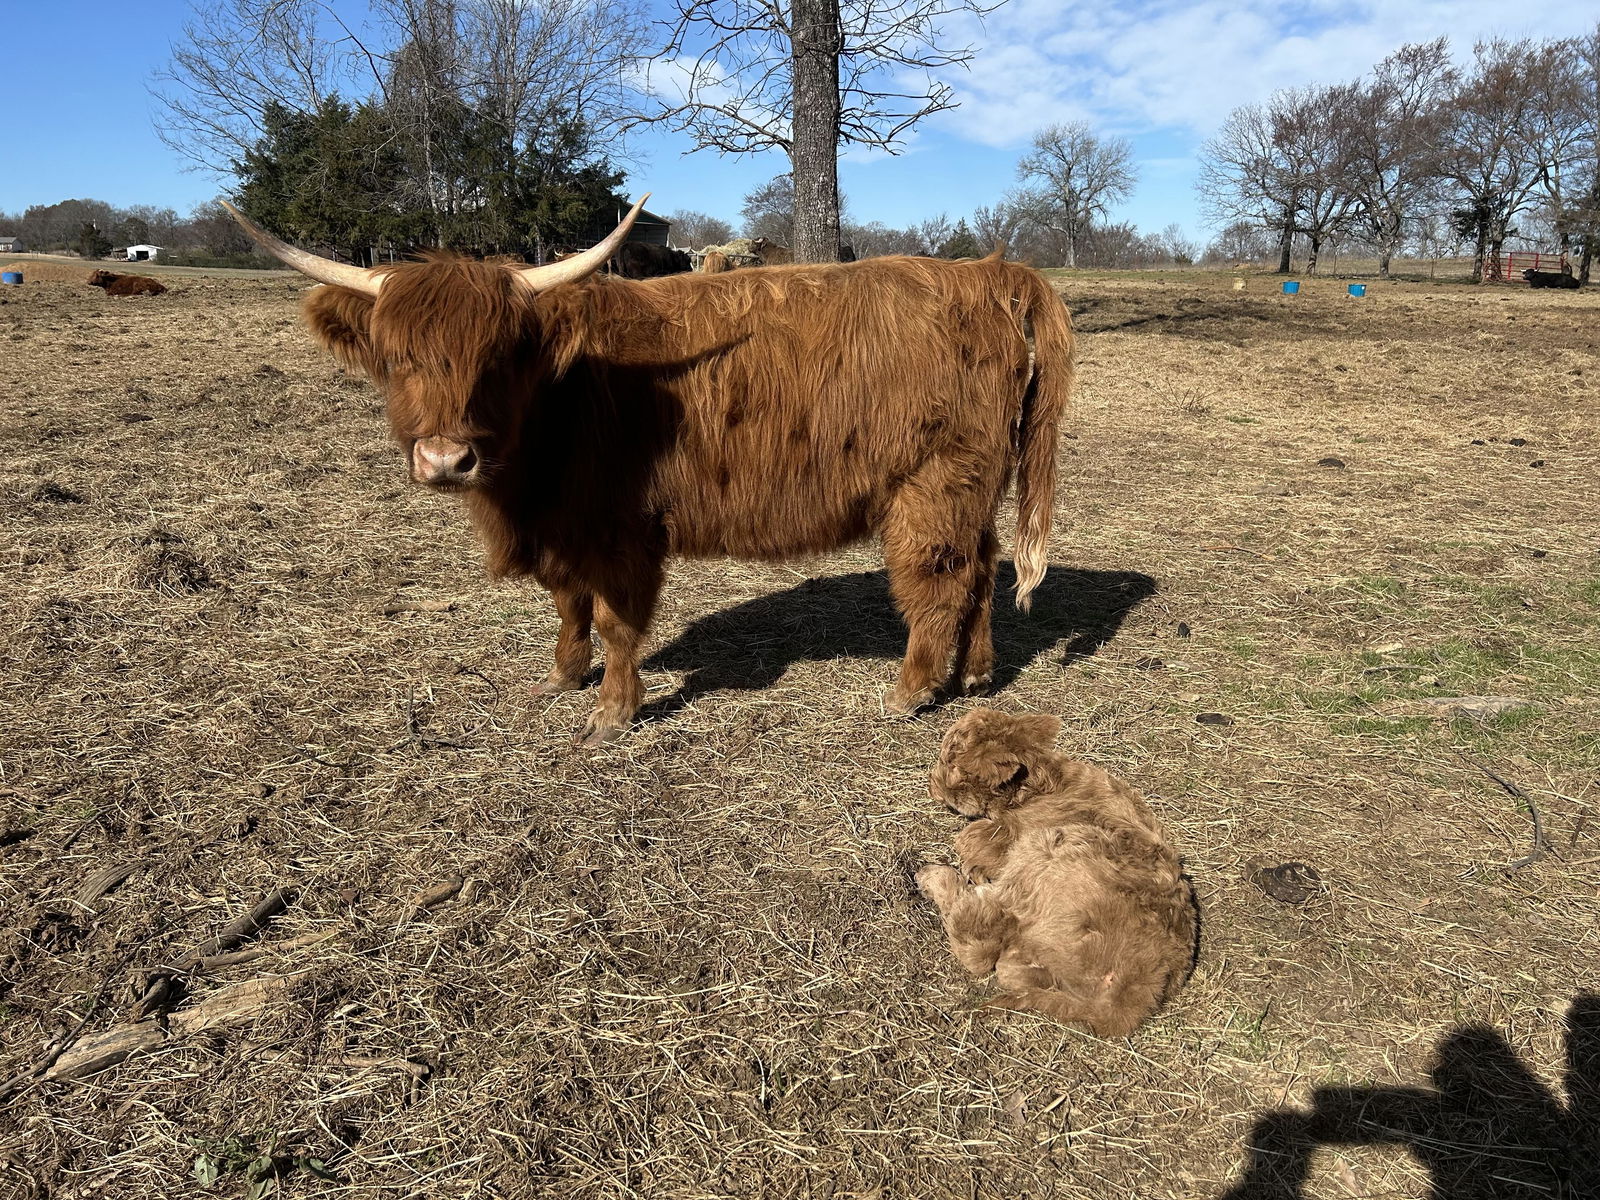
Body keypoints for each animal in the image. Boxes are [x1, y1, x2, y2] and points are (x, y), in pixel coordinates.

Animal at [223, 196, 1075, 744]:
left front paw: (610, 712)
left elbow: (614, 618)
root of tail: (987, 274)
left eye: (498, 357)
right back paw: (975, 676)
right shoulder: (561, 527)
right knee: (985, 568)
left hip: (933, 486)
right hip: (973, 487)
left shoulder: (619, 530)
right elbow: (566, 604)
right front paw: (564, 676)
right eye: (396, 358)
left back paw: (910, 691)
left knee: (940, 581)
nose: (445, 459)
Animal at [917, 709, 1196, 1036]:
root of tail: (1121, 1004)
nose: (930, 785)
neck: (1039, 785)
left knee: (979, 941)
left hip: (1049, 848)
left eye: (950, 762)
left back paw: (933, 877)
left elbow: (970, 839)